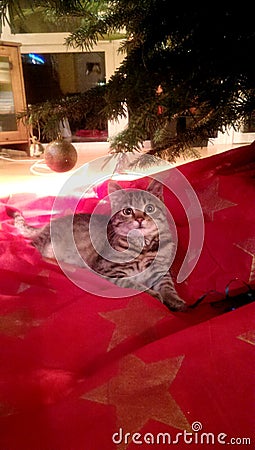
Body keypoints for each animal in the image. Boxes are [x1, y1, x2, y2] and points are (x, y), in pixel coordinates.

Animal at [6, 178, 186, 310]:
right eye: (128, 211)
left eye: (149, 208)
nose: (140, 219)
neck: (144, 247)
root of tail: (46, 225)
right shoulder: (109, 271)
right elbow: (133, 284)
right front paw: (153, 294)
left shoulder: (162, 270)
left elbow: (168, 285)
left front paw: (174, 299)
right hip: (42, 243)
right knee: (31, 246)